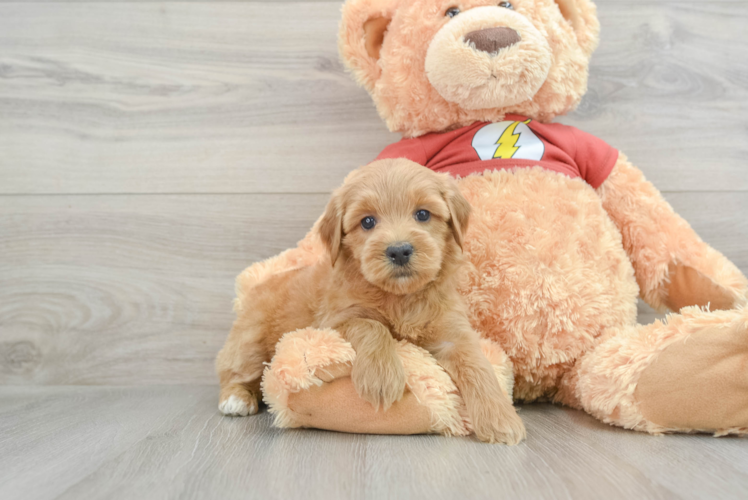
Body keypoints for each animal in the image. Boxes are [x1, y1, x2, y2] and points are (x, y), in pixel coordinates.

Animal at [213, 158, 524, 444]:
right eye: (368, 222)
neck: (400, 297)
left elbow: (477, 365)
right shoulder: (336, 320)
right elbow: (371, 326)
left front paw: (501, 418)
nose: (399, 251)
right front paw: (381, 378)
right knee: (234, 373)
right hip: (249, 342)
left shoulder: (452, 331)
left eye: (423, 214)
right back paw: (236, 399)